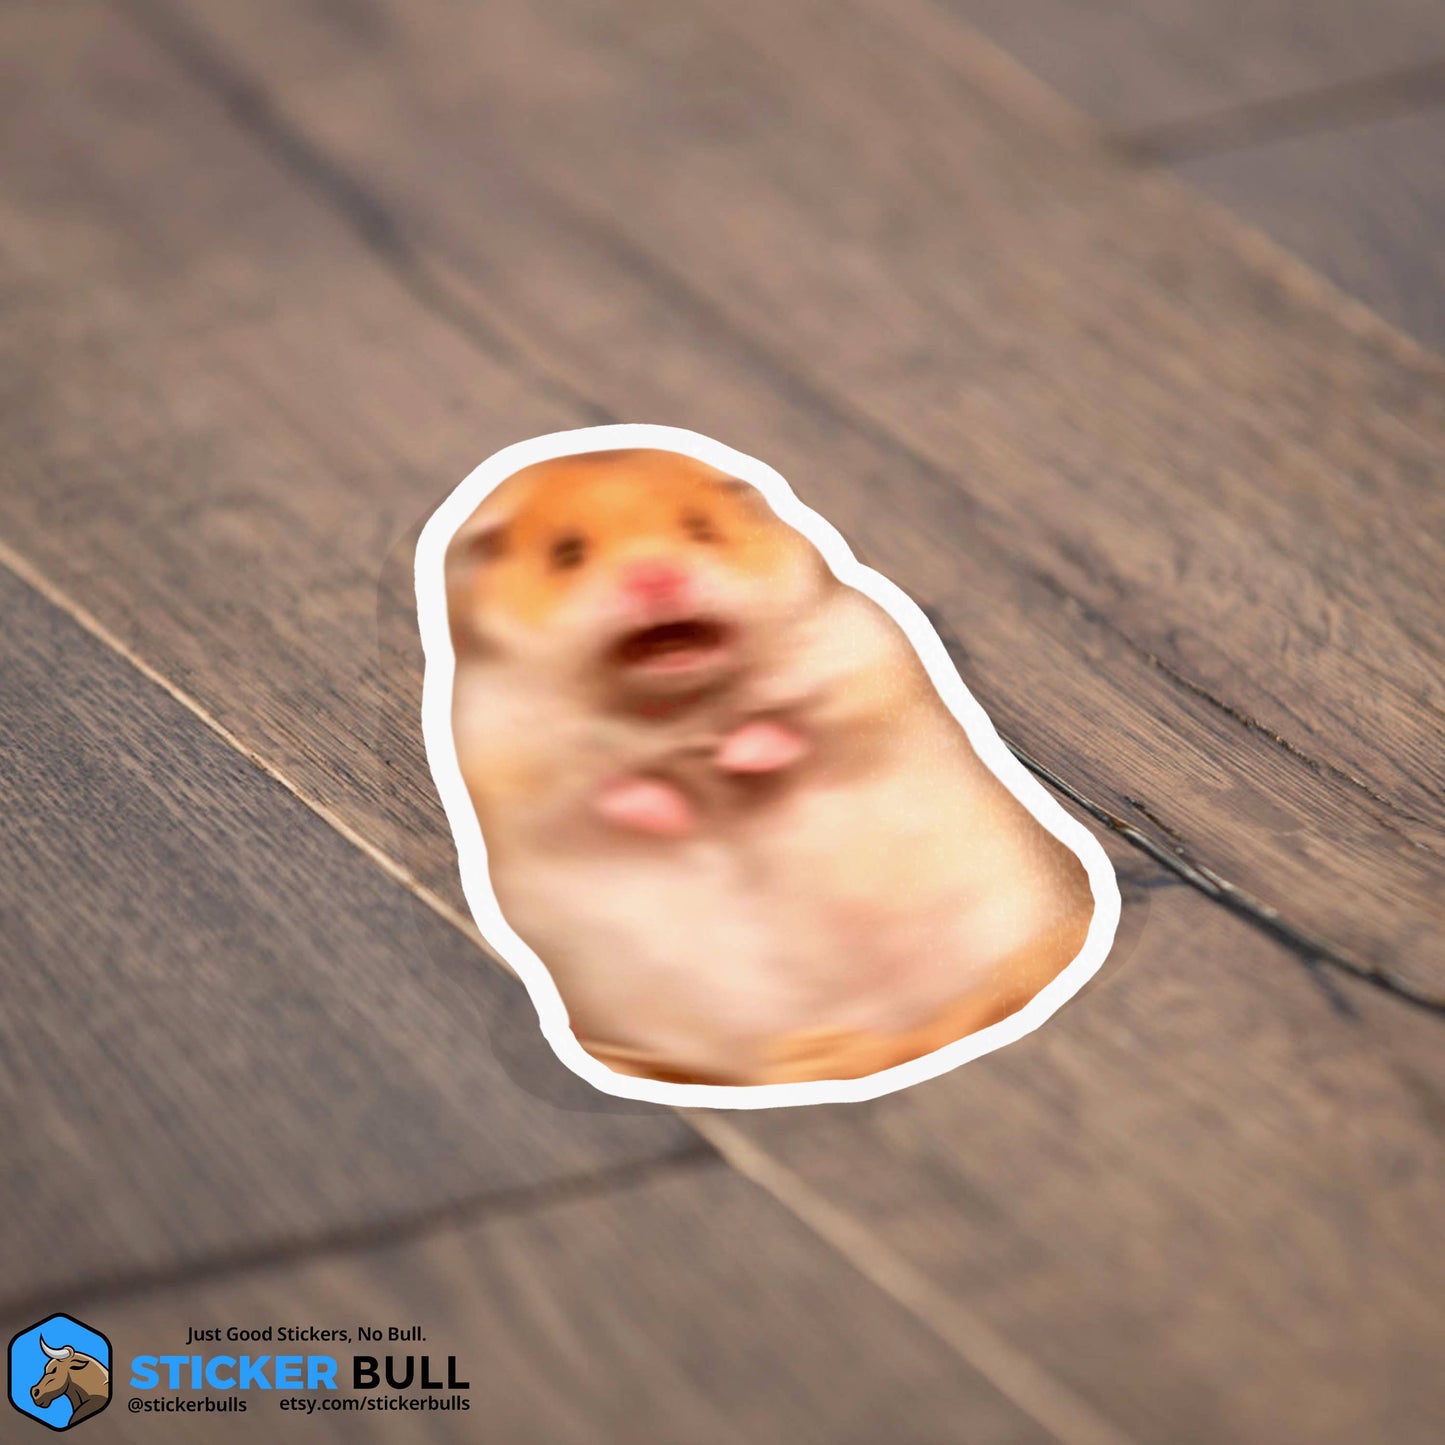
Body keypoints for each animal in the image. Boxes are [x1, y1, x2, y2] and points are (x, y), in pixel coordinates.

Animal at [446, 448, 1094, 1086]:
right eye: (566, 555)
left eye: (702, 530)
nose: (657, 578)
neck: (680, 706)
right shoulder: (506, 756)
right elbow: (606, 787)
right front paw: (675, 805)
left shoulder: (865, 666)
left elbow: (795, 724)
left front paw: (738, 757)